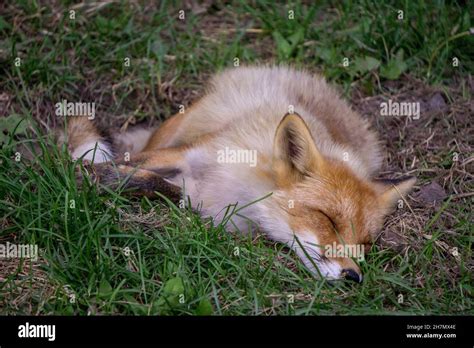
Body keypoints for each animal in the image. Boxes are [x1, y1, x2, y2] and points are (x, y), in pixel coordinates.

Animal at [58, 66, 414, 282]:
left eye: (365, 244)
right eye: (327, 219)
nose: (354, 276)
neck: (244, 192)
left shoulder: (199, 199)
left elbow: (161, 185)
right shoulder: (191, 152)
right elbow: (135, 166)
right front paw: (88, 174)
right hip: (178, 129)